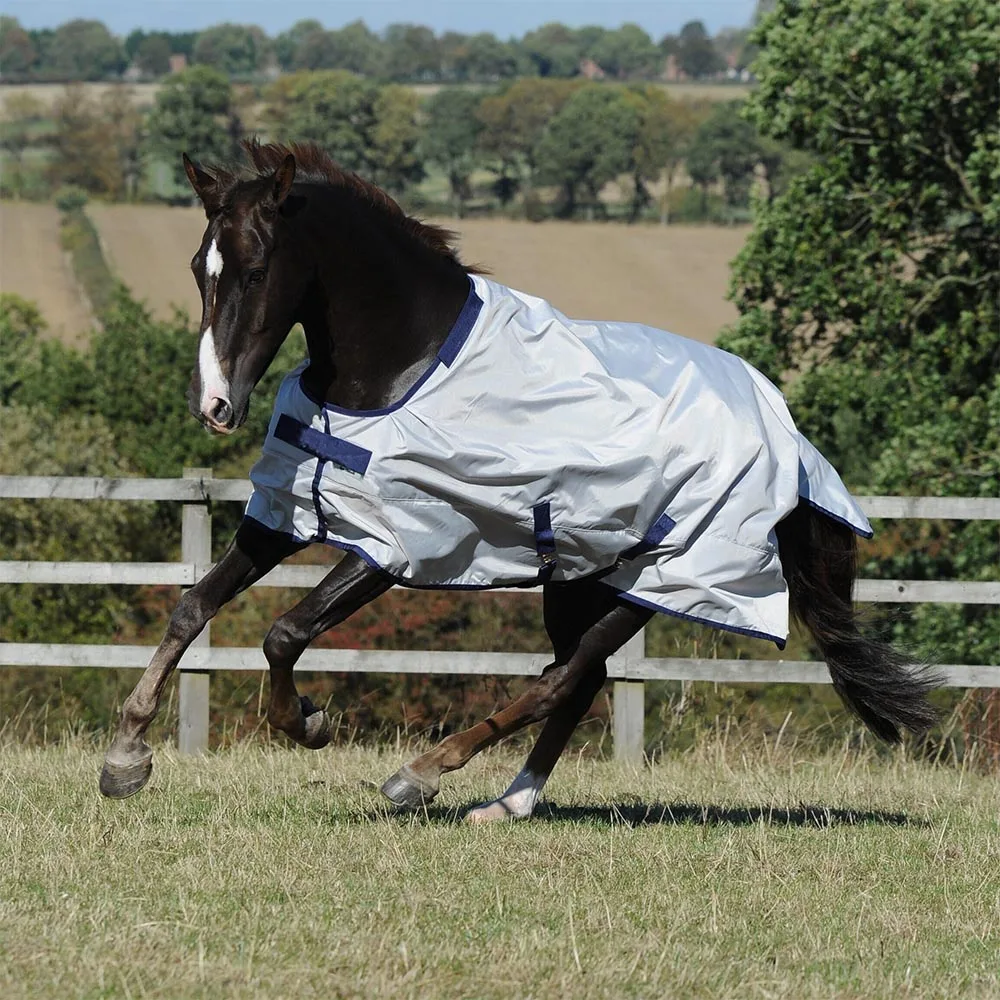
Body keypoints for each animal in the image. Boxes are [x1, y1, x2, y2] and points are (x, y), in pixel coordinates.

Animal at [97, 141, 940, 816]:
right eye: (199, 267)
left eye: (257, 268)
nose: (215, 405)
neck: (398, 367)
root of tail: (787, 436)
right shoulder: (286, 515)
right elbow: (193, 605)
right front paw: (125, 759)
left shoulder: (396, 546)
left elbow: (283, 634)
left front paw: (308, 722)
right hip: (578, 576)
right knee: (578, 679)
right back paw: (509, 803)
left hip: (656, 581)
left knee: (562, 680)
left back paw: (422, 774)